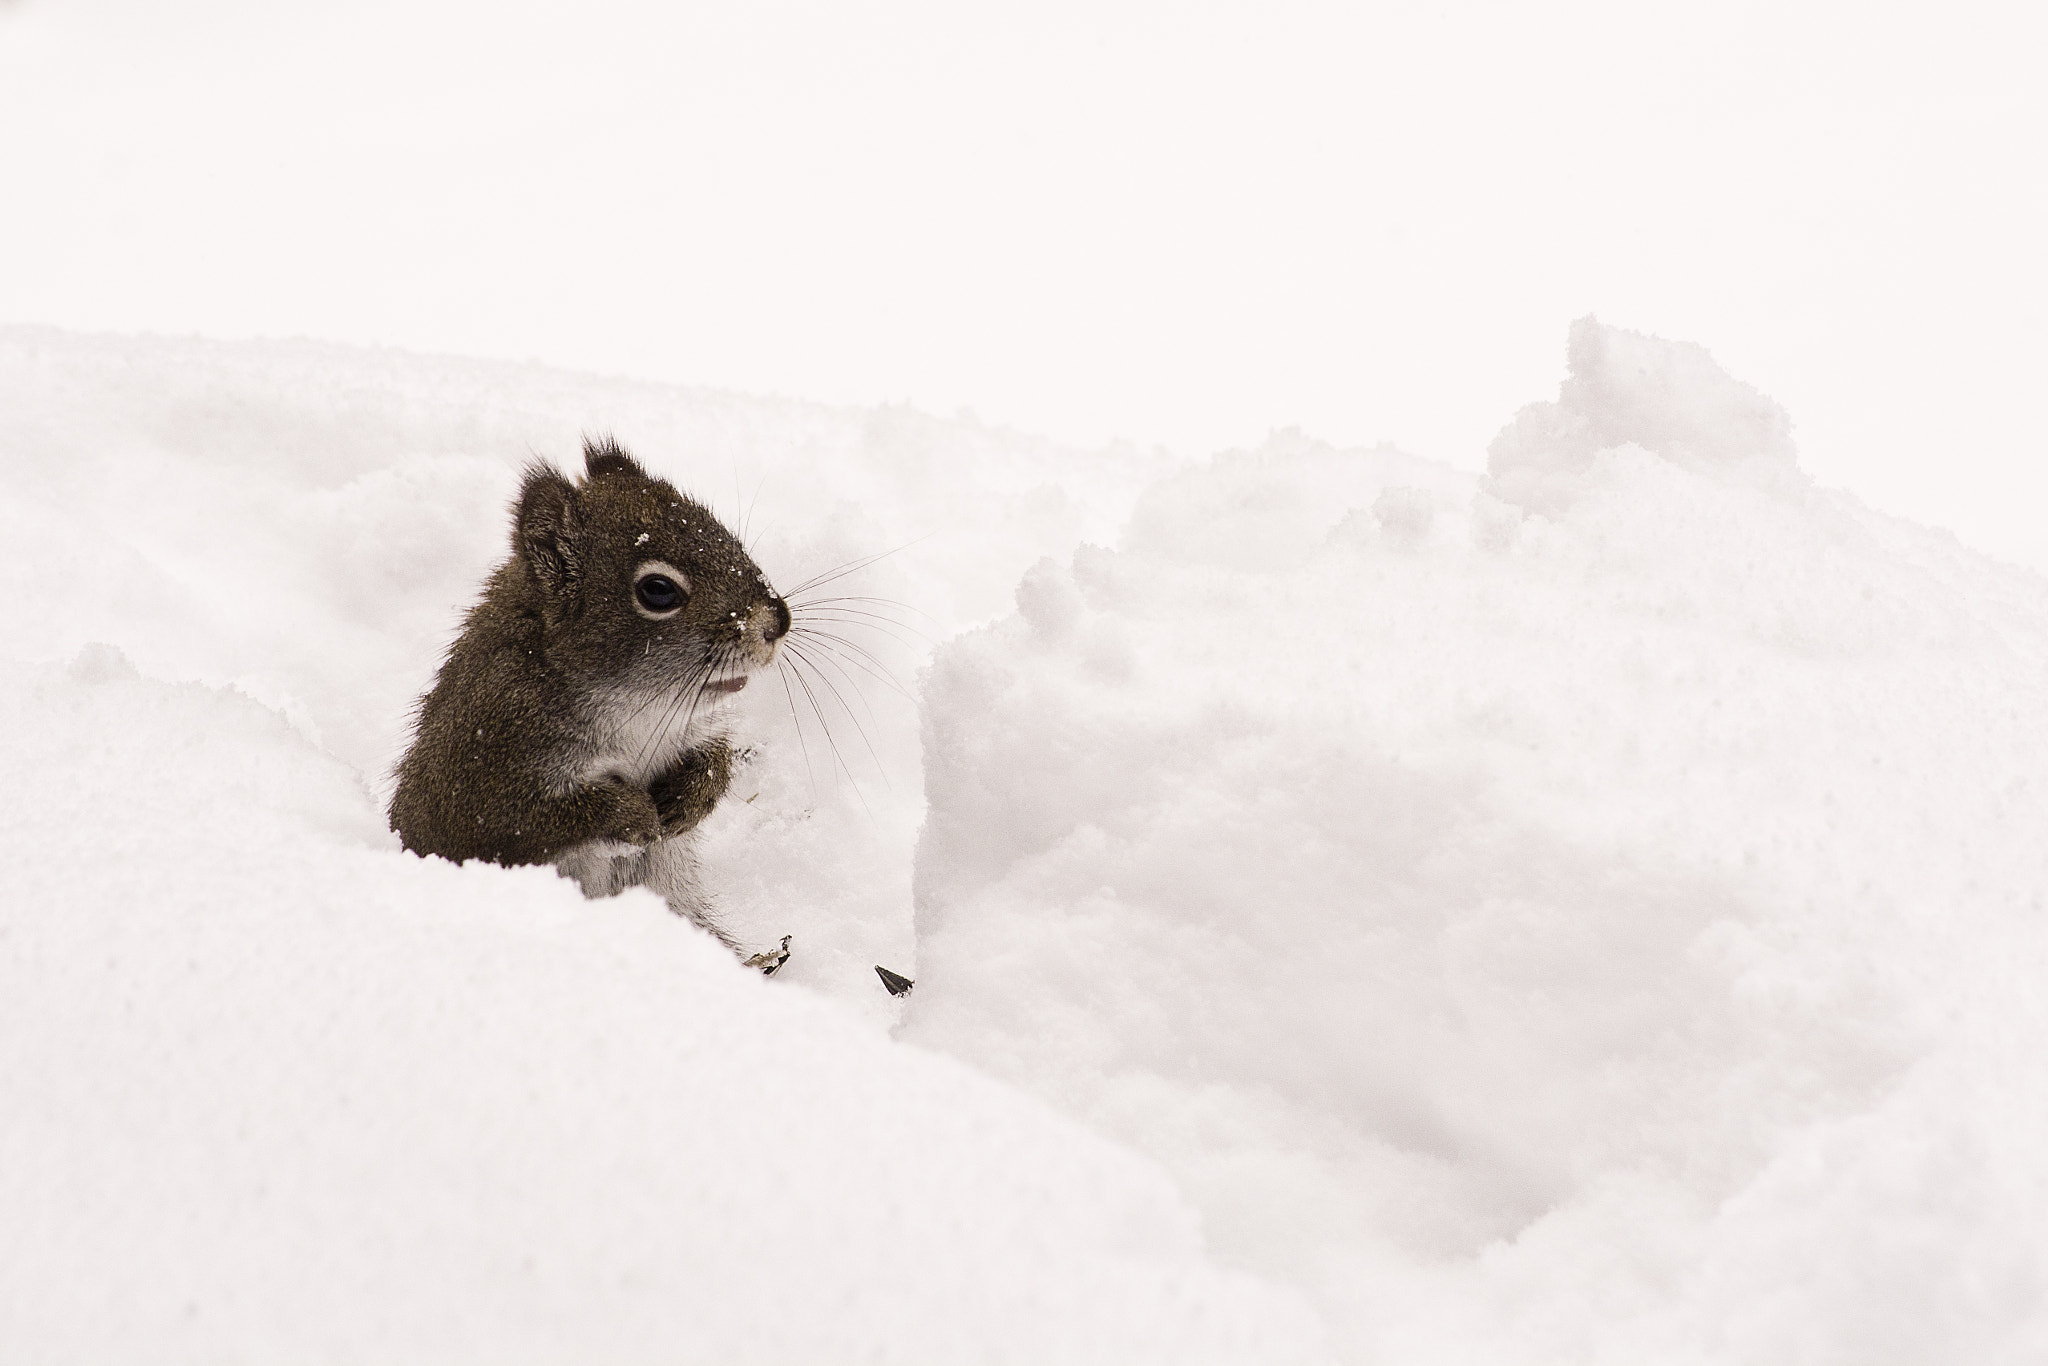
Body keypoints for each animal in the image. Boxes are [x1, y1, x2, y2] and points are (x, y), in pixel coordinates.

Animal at [387, 438, 786, 962]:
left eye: (723, 533)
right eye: (658, 590)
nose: (778, 622)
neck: (637, 708)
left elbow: (713, 756)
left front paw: (687, 798)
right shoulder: (482, 773)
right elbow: (529, 819)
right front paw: (633, 816)